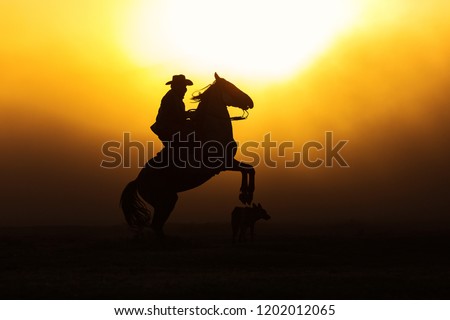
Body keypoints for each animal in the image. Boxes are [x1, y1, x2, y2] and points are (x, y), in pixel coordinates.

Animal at [119, 73, 255, 238]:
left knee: (158, 225)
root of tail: (138, 180)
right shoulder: (224, 163)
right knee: (156, 225)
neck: (212, 130)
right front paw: (246, 195)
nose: (250, 101)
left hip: (169, 199)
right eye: (230, 87)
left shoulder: (229, 162)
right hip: (165, 200)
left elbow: (248, 169)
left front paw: (245, 195)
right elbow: (248, 169)